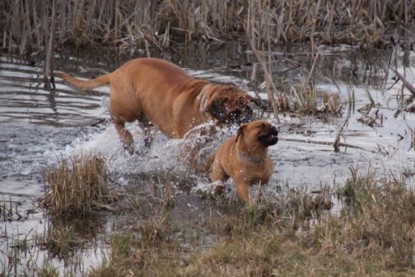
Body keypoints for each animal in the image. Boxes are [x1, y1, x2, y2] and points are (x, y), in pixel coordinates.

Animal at [54, 58, 260, 153]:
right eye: (235, 113)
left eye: (250, 110)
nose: (248, 120)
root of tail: (117, 71)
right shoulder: (188, 145)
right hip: (129, 107)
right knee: (116, 119)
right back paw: (127, 140)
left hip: (146, 117)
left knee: (145, 131)